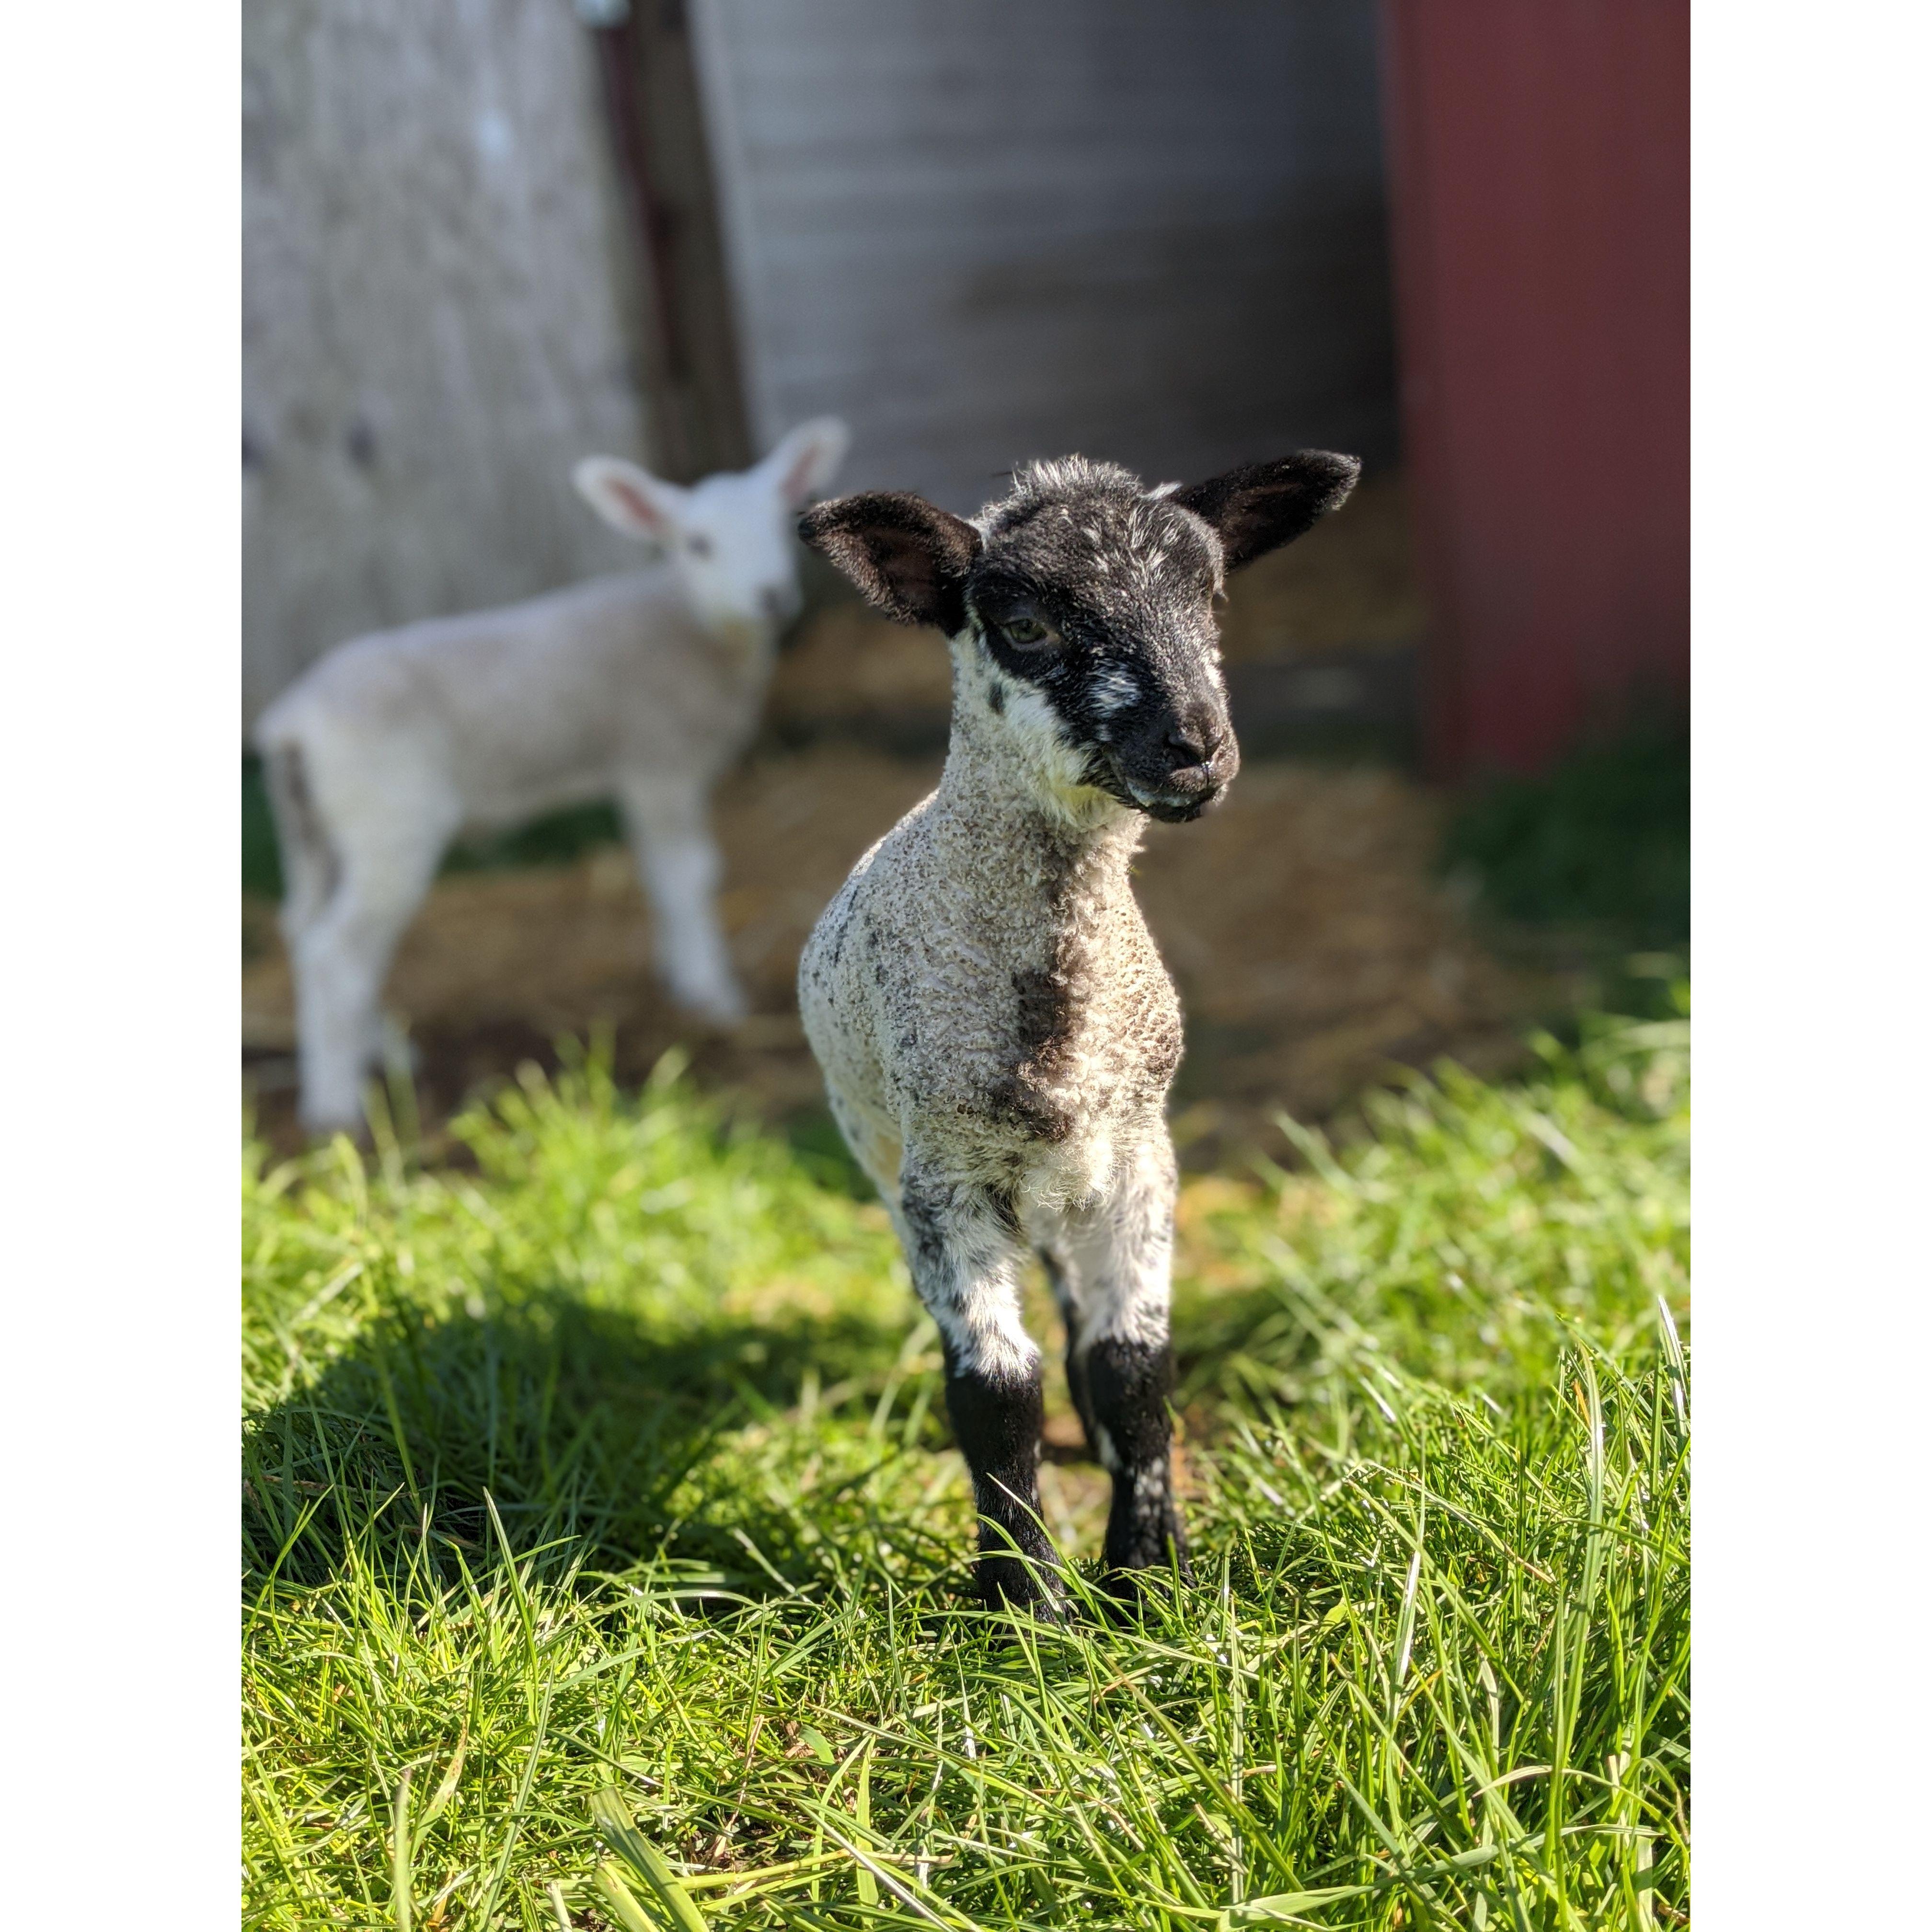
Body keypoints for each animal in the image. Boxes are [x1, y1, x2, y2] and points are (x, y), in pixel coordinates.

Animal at [254, 418, 850, 1135]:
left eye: (779, 528)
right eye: (697, 544)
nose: (772, 597)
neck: (688, 621)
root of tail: (293, 721)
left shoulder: (641, 772)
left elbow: (658, 873)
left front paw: (677, 972)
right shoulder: (659, 760)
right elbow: (688, 874)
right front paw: (712, 994)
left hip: (310, 827)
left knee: (305, 930)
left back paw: (384, 1053)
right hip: (387, 818)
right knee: (335, 951)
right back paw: (336, 1105)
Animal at [797, 449, 1360, 1614]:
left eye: (1209, 599)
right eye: (1024, 625)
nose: (1197, 748)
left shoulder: (1143, 1154)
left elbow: (1133, 1368)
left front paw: (1147, 1573)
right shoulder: (944, 1179)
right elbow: (993, 1389)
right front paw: (1024, 1606)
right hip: (882, 1156)